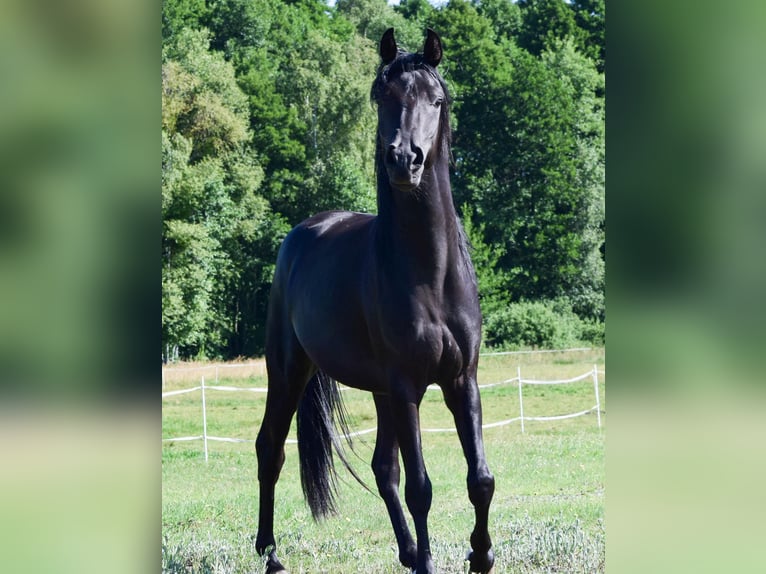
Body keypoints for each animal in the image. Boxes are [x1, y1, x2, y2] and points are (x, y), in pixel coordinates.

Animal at [254, 28, 495, 574]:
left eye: (437, 100)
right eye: (383, 96)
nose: (405, 160)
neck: (429, 273)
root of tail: (305, 231)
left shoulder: (461, 380)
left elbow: (480, 478)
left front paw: (481, 554)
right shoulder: (407, 387)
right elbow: (421, 489)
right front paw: (431, 563)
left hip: (380, 391)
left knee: (383, 469)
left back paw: (405, 551)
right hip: (289, 371)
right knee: (270, 450)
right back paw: (271, 554)